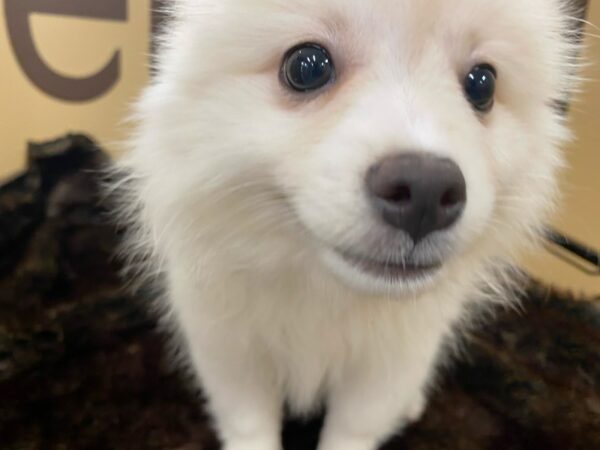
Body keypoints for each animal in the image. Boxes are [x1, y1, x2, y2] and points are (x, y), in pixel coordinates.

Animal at [116, 1, 580, 448]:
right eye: (307, 67)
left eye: (482, 85)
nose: (426, 191)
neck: (323, 288)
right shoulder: (228, 345)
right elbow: (248, 421)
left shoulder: (390, 363)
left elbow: (354, 429)